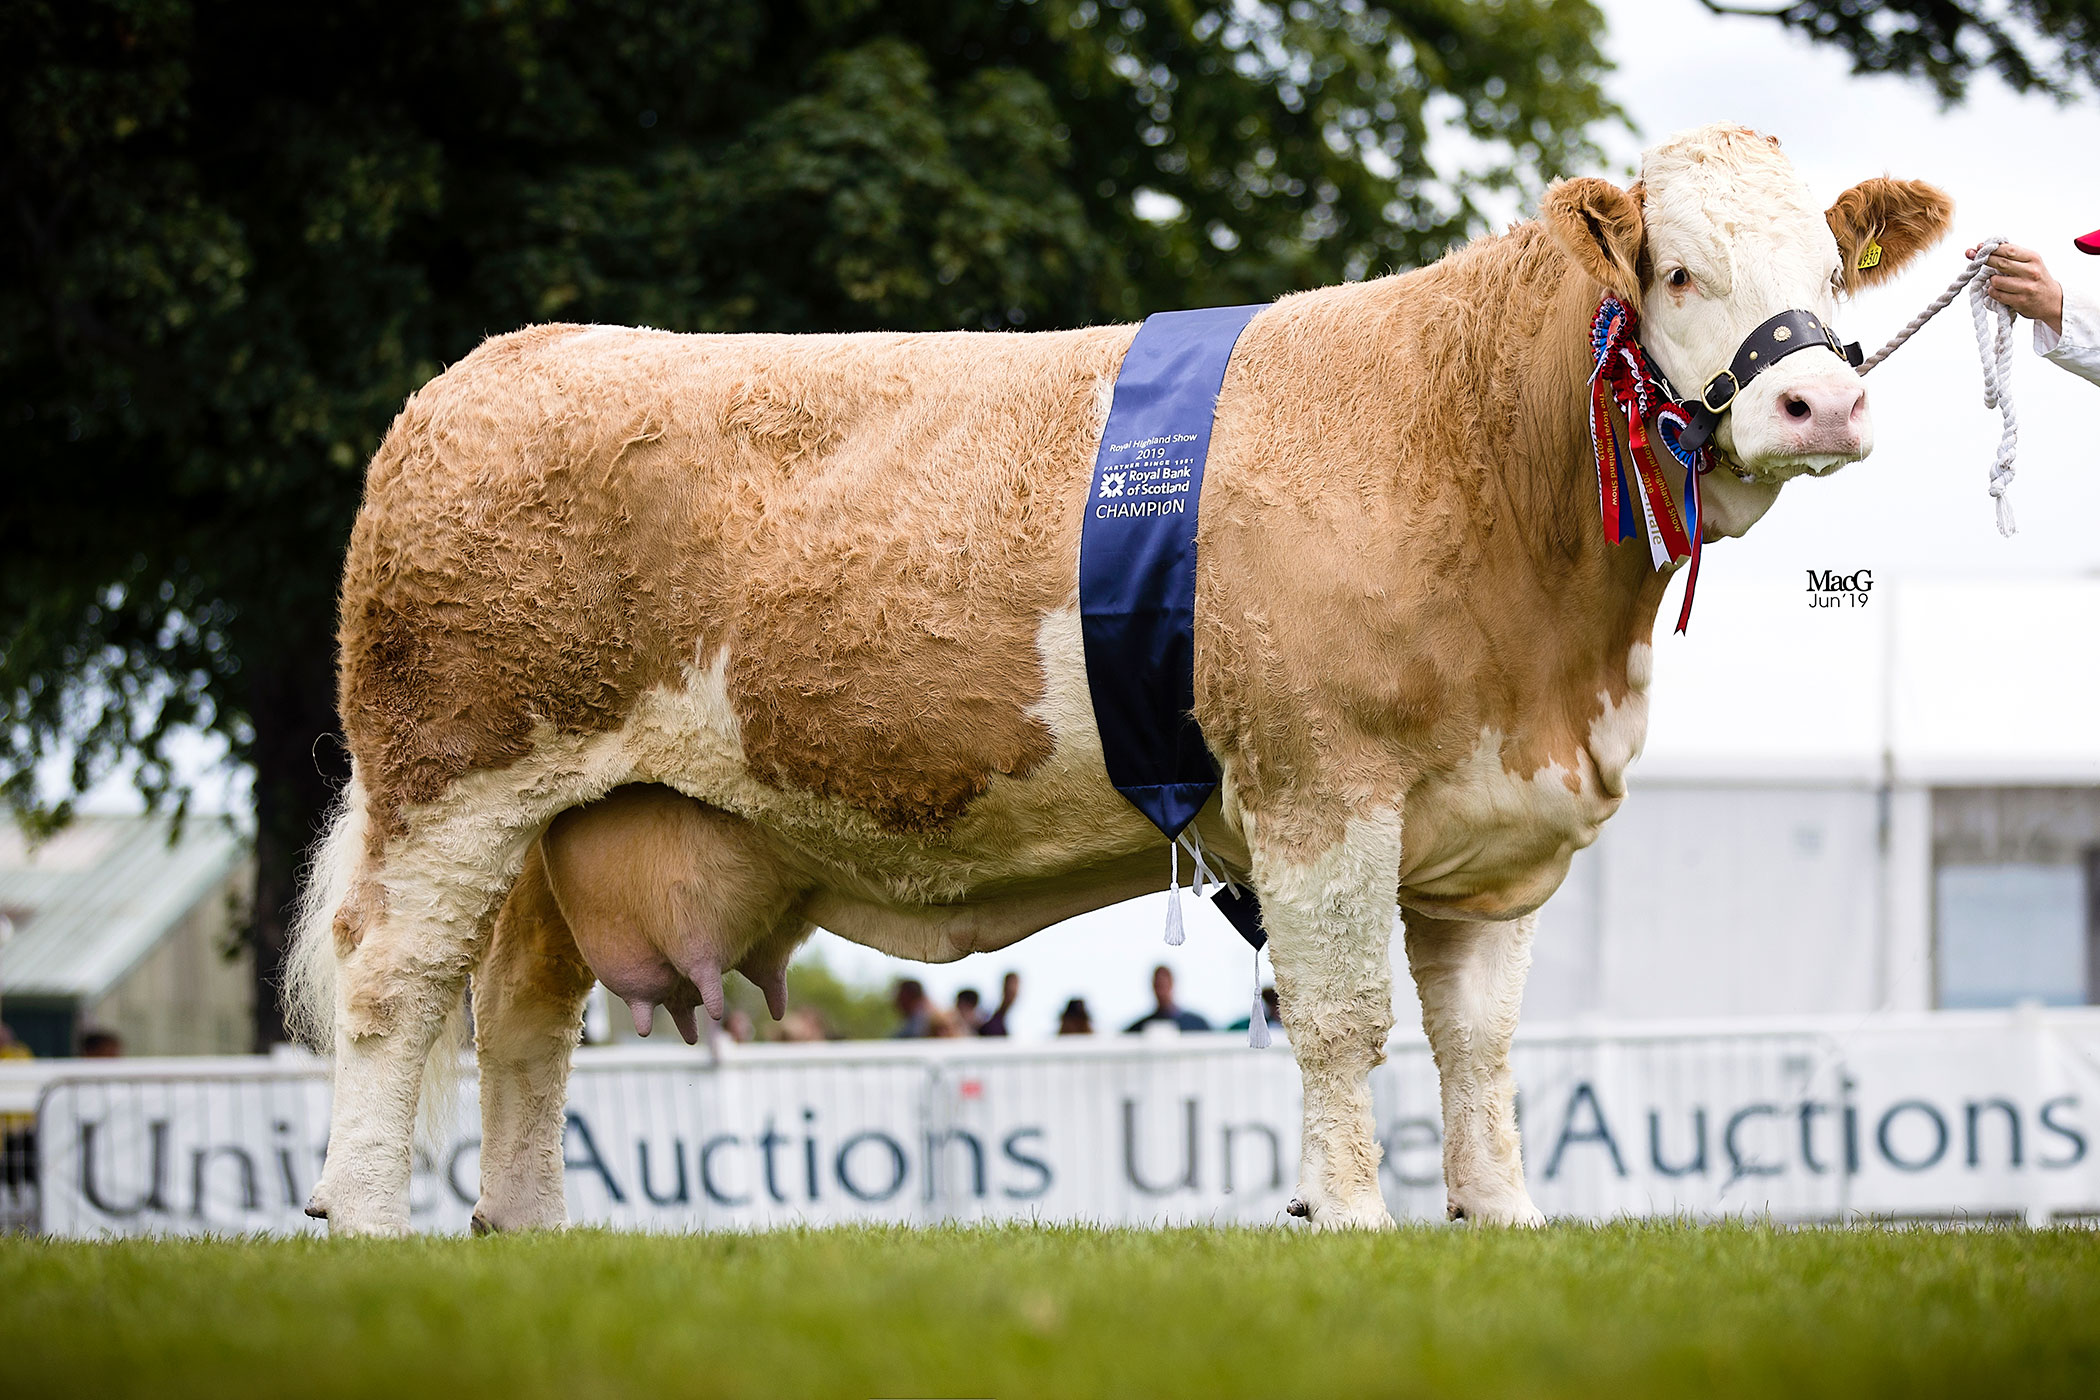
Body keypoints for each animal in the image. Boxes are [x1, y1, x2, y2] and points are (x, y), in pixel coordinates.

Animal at [289, 125, 1952, 1235]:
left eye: (1831, 270)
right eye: (1678, 269)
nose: (1821, 401)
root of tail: (505, 360)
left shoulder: (1494, 831)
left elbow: (1477, 1045)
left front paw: (1503, 1224)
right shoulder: (1319, 790)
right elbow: (1342, 1019)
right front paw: (1348, 1219)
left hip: (565, 825)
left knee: (522, 1017)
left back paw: (527, 1235)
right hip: (451, 780)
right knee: (391, 986)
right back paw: (367, 1225)